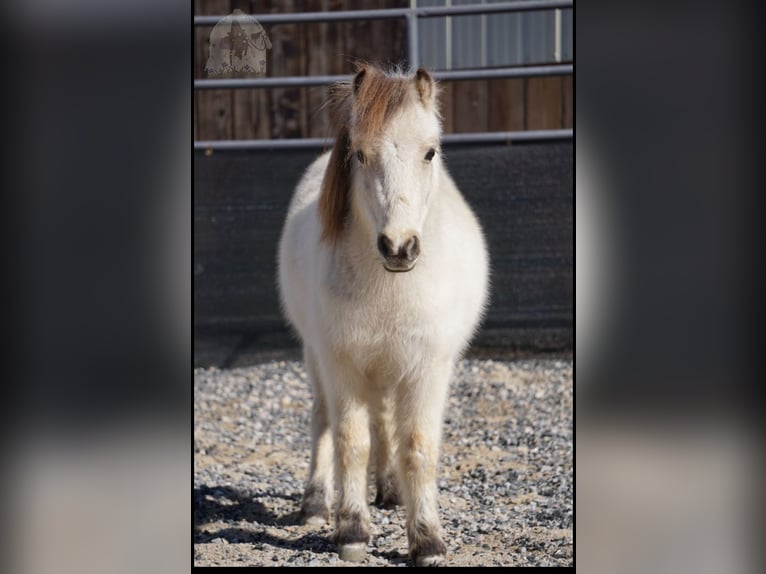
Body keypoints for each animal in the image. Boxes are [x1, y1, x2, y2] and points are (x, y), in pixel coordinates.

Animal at [280, 63, 488, 568]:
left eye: (430, 151)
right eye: (358, 154)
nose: (399, 246)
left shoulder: (427, 368)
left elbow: (416, 446)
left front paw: (427, 539)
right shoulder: (342, 365)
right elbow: (351, 442)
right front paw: (352, 531)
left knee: (384, 421)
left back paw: (390, 490)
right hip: (319, 359)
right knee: (325, 420)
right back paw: (315, 504)